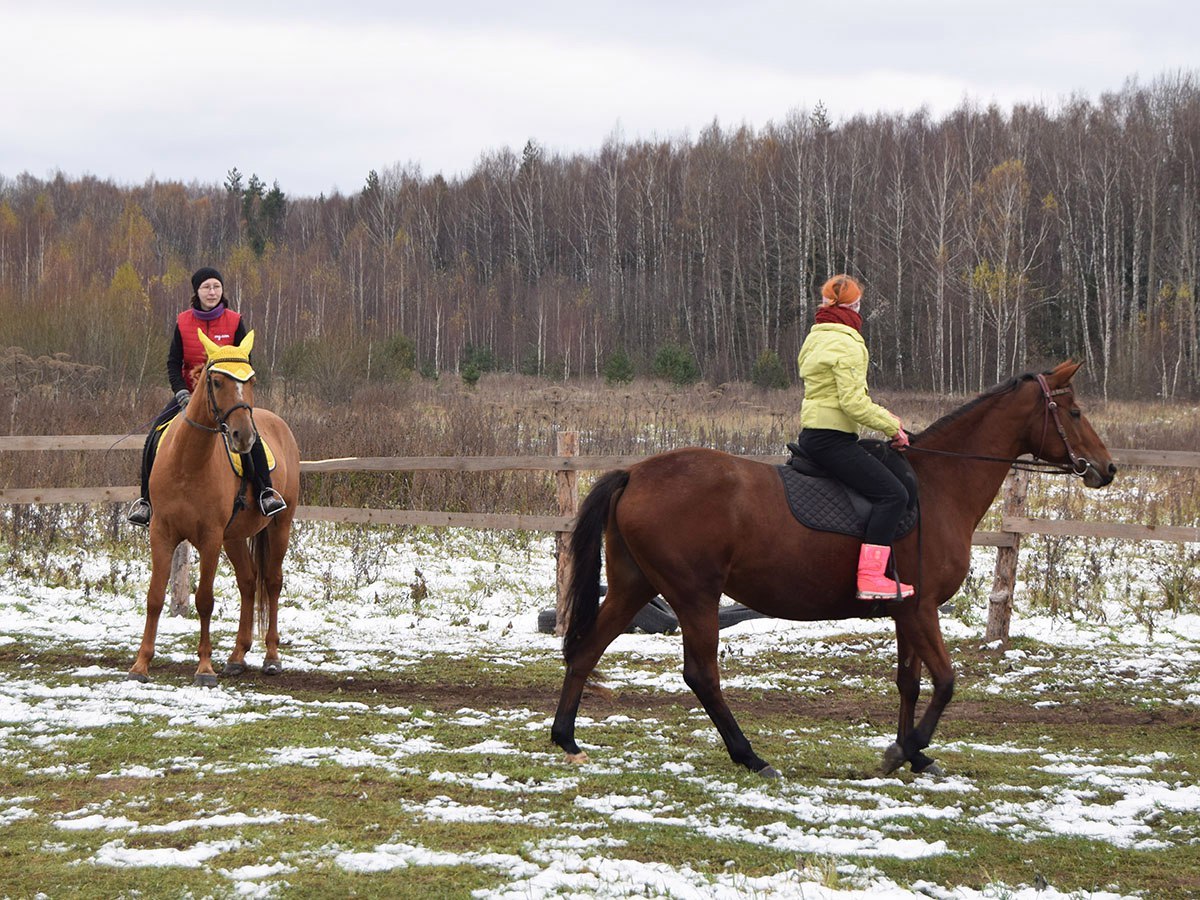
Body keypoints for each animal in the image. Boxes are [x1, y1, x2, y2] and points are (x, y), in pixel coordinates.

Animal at [126, 331, 300, 681]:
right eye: (217, 381)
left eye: (251, 380)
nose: (243, 436)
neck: (187, 464)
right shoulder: (161, 534)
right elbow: (154, 597)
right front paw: (141, 664)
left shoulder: (209, 538)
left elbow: (204, 599)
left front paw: (204, 667)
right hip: (234, 537)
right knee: (248, 583)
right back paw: (237, 656)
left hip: (280, 526)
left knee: (272, 583)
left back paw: (271, 656)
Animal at [552, 362, 1113, 777]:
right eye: (1075, 411)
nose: (1107, 469)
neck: (939, 484)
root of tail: (635, 472)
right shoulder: (922, 608)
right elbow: (946, 681)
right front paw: (905, 750)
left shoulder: (906, 611)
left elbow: (909, 682)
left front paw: (914, 753)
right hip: (694, 596)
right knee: (701, 675)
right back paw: (750, 756)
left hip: (633, 586)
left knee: (585, 651)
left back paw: (566, 739)